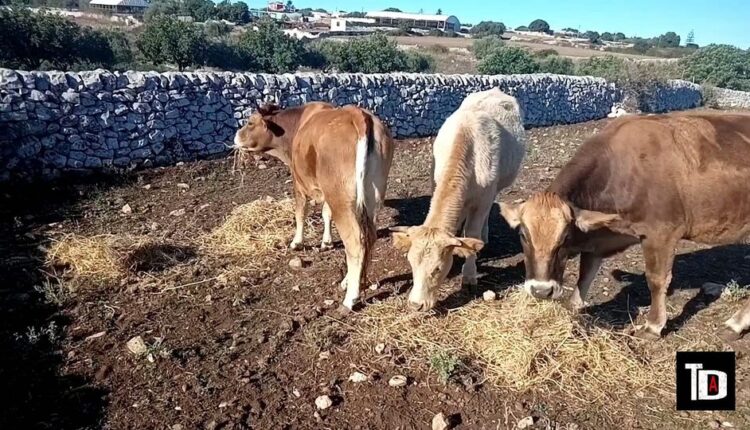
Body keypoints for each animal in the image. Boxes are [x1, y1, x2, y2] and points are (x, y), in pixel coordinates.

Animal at [235, 101, 396, 310]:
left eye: (250, 122)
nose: (235, 136)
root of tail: (358, 115)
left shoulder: (298, 181)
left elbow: (300, 213)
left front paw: (297, 242)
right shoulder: (325, 190)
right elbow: (326, 213)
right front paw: (326, 242)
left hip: (341, 198)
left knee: (355, 242)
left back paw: (350, 298)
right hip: (371, 196)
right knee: (369, 237)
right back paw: (351, 281)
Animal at [390, 88, 524, 310]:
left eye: (437, 268)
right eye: (411, 264)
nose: (416, 305)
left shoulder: (482, 199)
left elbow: (472, 232)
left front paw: (469, 275)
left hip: (496, 188)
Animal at [502, 112, 750, 340]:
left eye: (565, 237)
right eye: (522, 234)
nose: (541, 290)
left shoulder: (661, 232)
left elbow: (656, 280)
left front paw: (653, 326)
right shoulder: (599, 236)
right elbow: (586, 272)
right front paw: (574, 307)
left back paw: (735, 323)